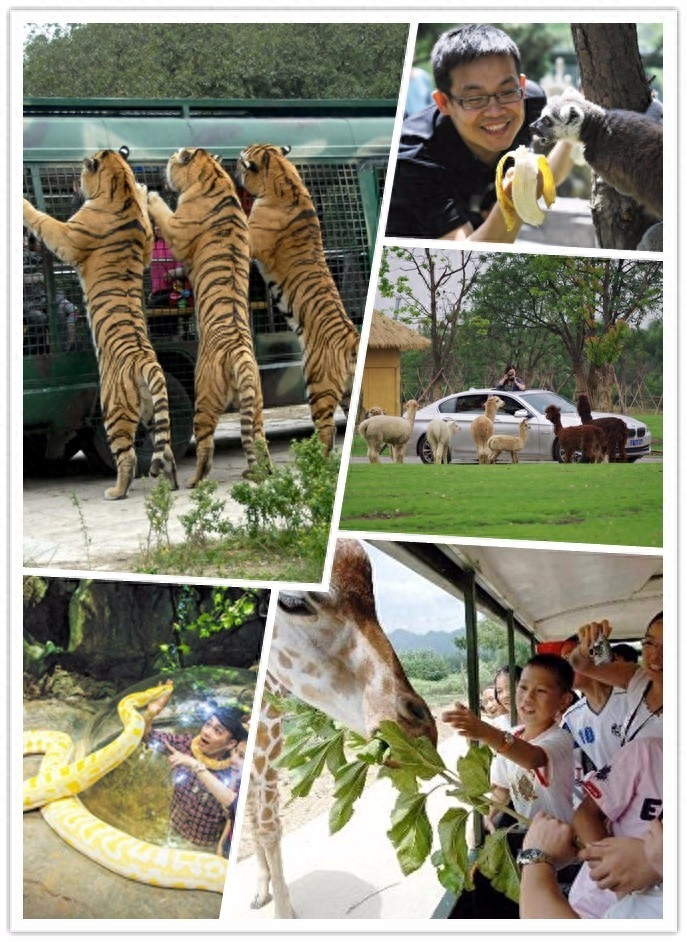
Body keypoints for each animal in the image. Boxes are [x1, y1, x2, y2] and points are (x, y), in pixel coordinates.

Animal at [22, 146, 177, 502]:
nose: (75, 184)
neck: (119, 189)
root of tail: (147, 362)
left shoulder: (67, 236)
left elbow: (43, 220)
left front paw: (22, 203)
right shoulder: (147, 246)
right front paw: (145, 192)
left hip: (112, 410)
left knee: (128, 455)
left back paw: (116, 491)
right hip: (154, 411)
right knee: (167, 449)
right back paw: (174, 484)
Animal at [148, 149, 272, 486]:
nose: (160, 170)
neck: (213, 176)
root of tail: (240, 353)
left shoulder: (176, 229)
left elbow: (162, 212)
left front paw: (148, 193)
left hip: (203, 395)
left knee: (205, 445)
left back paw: (194, 481)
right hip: (255, 400)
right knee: (258, 438)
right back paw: (261, 471)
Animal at [235, 145, 360, 458]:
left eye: (242, 161)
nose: (233, 166)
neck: (281, 173)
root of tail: (352, 338)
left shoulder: (250, 239)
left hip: (317, 384)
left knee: (327, 429)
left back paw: (316, 456)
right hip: (347, 391)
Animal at [249, 544, 440, 920]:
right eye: (292, 601)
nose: (421, 730)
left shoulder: (265, 751)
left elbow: (266, 827)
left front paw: (281, 909)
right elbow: (264, 827)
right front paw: (279, 909)